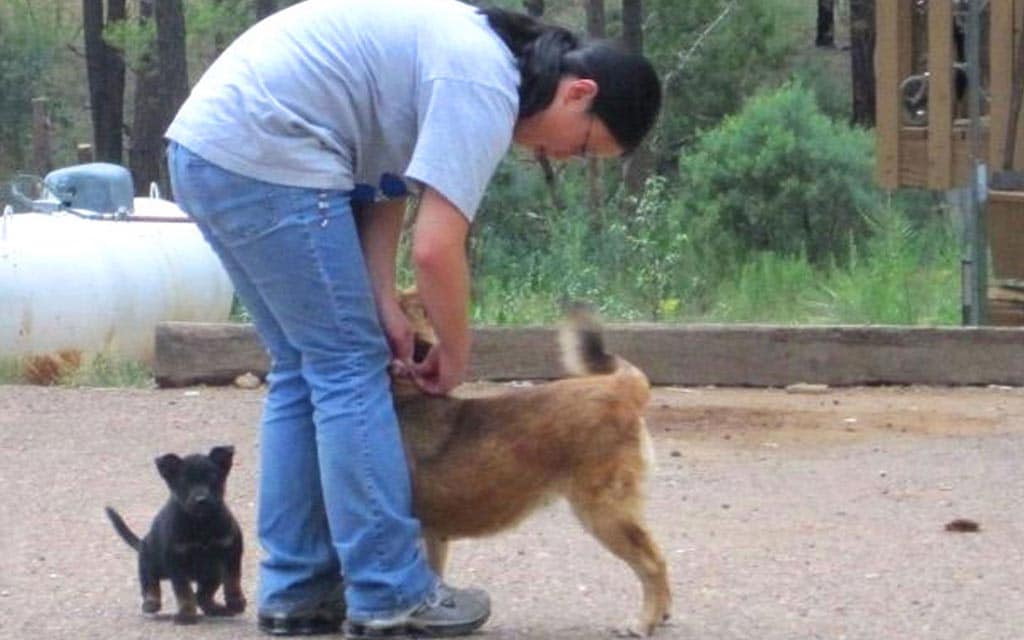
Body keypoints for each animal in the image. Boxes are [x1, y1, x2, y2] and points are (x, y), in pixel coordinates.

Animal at [105, 446, 245, 622]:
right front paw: (186, 614)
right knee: (149, 582)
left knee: (202, 595)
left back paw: (216, 609)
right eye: (185, 482)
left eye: (213, 479)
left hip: (212, 574)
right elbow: (184, 591)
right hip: (148, 559)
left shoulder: (231, 552)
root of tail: (142, 542)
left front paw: (236, 602)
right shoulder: (177, 561)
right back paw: (151, 602)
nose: (201, 500)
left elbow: (233, 579)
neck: (201, 523)